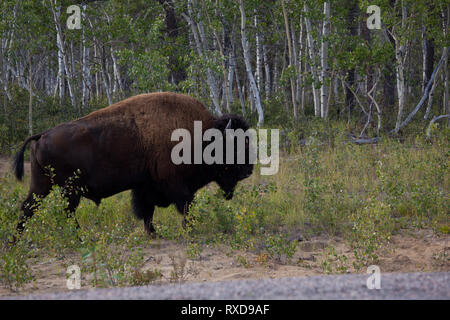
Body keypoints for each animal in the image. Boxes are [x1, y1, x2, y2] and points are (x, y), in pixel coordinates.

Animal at [12, 91, 253, 236]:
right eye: (235, 146)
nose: (248, 171)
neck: (201, 136)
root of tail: (42, 135)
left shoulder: (146, 186)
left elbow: (147, 212)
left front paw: (153, 233)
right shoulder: (175, 186)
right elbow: (185, 207)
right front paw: (187, 230)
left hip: (42, 185)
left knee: (28, 208)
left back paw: (18, 239)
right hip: (69, 189)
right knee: (65, 211)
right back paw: (80, 237)